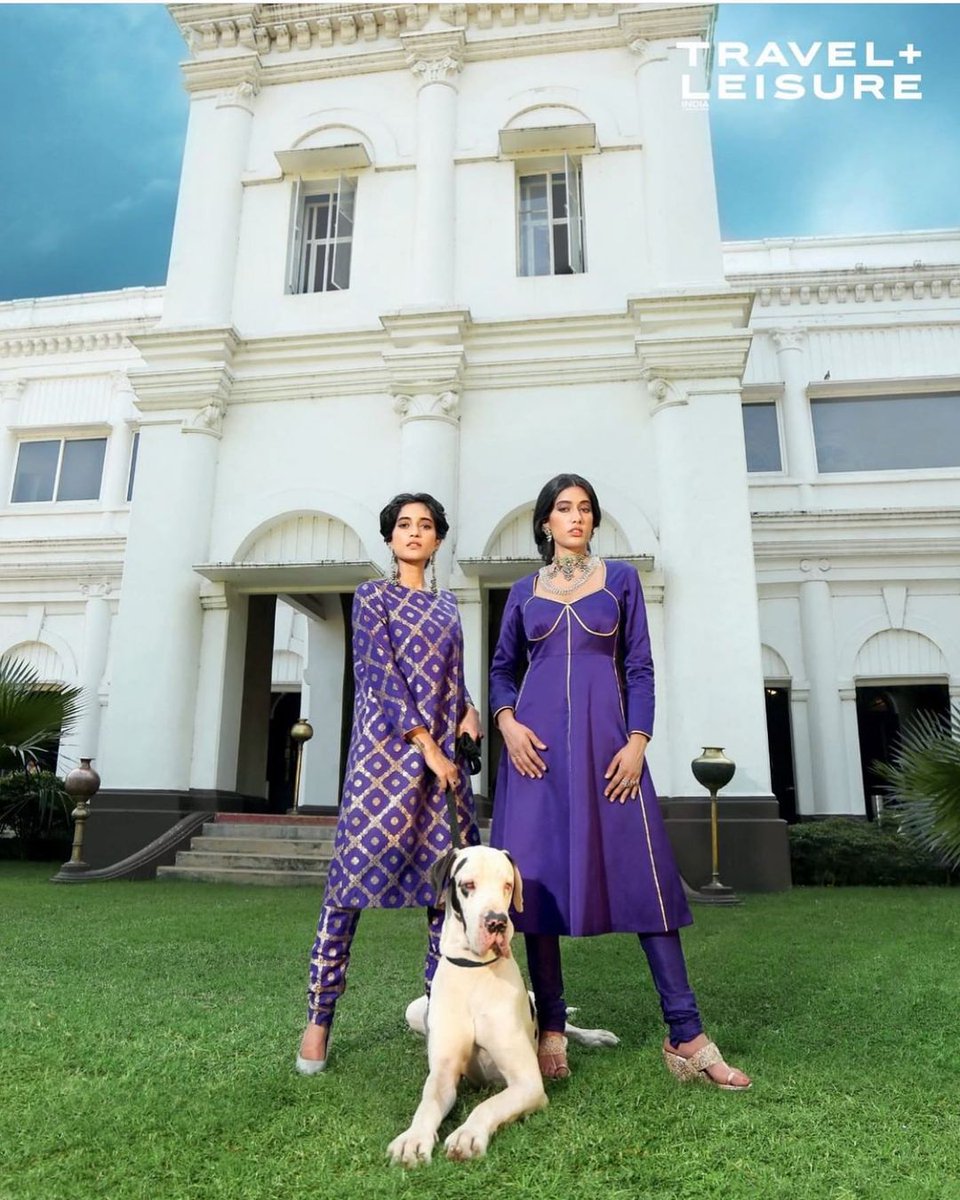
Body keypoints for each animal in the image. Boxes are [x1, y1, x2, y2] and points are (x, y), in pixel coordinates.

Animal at [386, 844, 619, 1161]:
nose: (496, 922)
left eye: (507, 885)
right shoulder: (443, 1073)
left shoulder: (527, 1082)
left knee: (565, 1026)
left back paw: (594, 1037)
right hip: (414, 1011)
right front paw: (413, 1138)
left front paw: (468, 1134)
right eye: (468, 885)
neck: (474, 971)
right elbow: (427, 1104)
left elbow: (488, 1105)